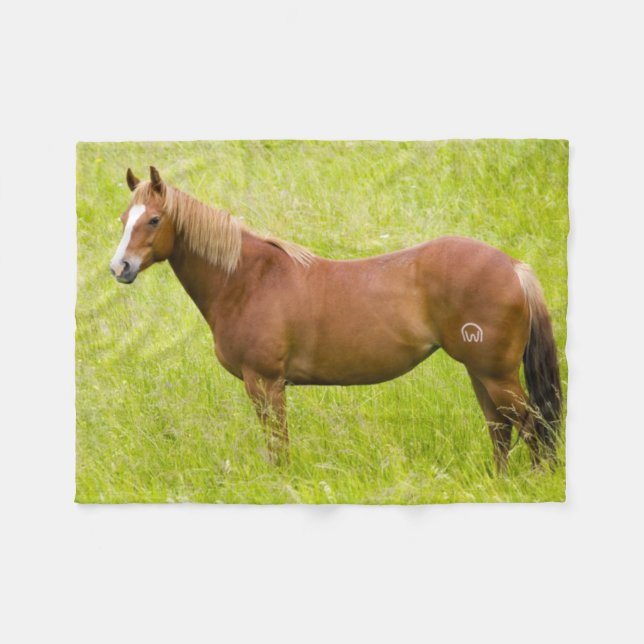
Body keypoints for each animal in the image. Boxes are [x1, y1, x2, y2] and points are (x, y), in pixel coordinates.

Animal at [109, 166, 562, 473]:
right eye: (124, 220)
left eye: (154, 219)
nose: (120, 268)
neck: (247, 279)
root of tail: (514, 267)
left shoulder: (265, 382)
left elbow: (278, 444)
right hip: (480, 372)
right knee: (500, 428)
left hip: (496, 374)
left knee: (531, 426)